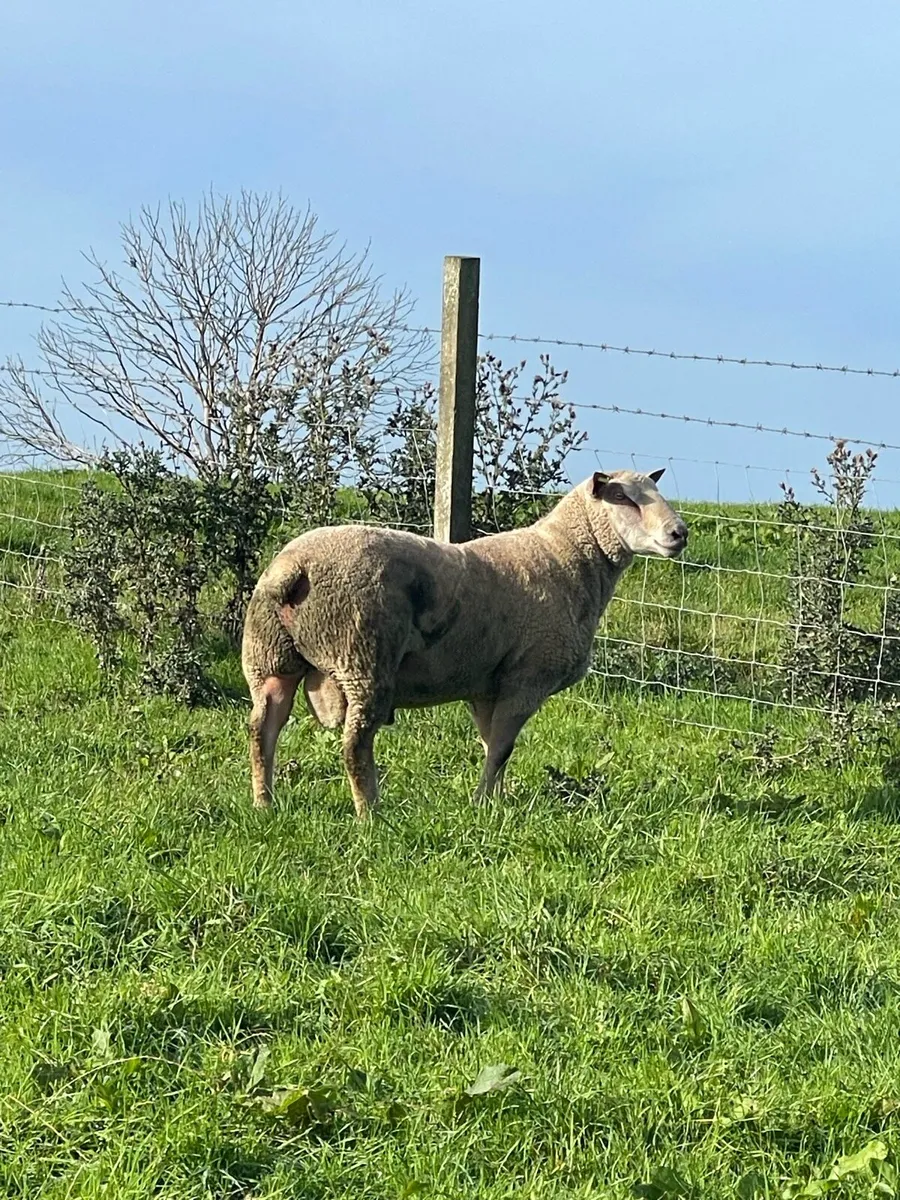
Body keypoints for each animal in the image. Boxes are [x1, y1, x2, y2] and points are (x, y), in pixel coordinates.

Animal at [241, 468, 687, 818]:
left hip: (269, 657)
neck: (567, 557)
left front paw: (495, 800)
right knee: (355, 745)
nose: (679, 533)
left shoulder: (487, 686)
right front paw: (482, 804)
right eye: (623, 498)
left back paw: (265, 804)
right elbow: (503, 747)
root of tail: (290, 568)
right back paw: (371, 814)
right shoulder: (527, 678)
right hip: (362, 656)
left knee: (262, 730)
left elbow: (493, 744)